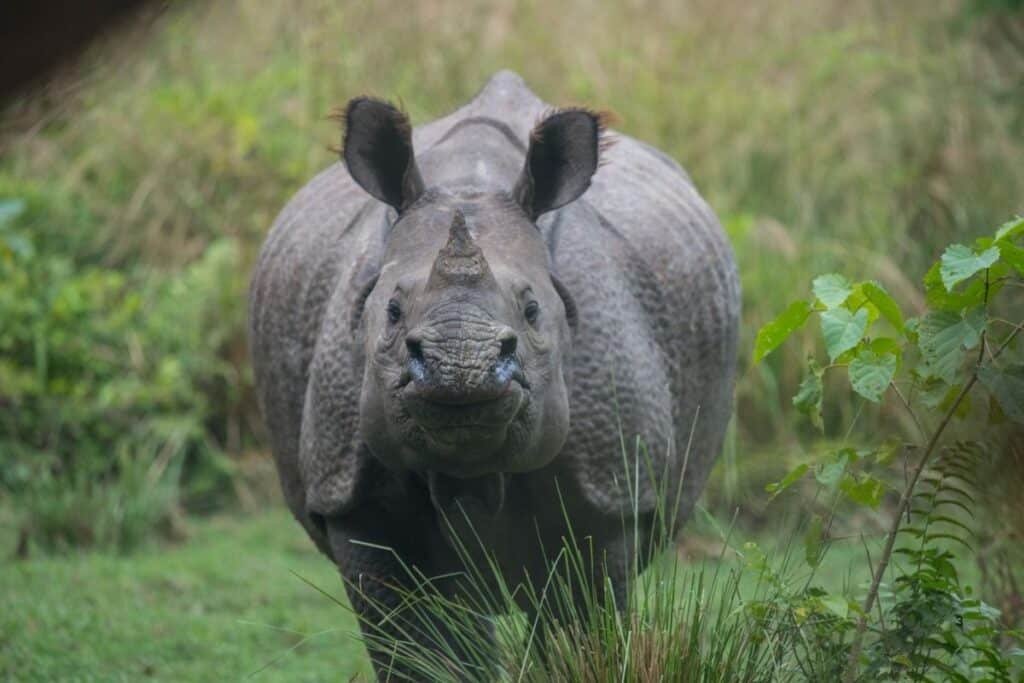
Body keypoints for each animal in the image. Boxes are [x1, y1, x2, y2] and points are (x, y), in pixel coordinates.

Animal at [248, 70, 739, 678]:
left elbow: (578, 625)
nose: (461, 366)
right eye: (391, 312)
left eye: (532, 311)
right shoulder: (349, 494)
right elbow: (414, 644)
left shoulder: (611, 488)